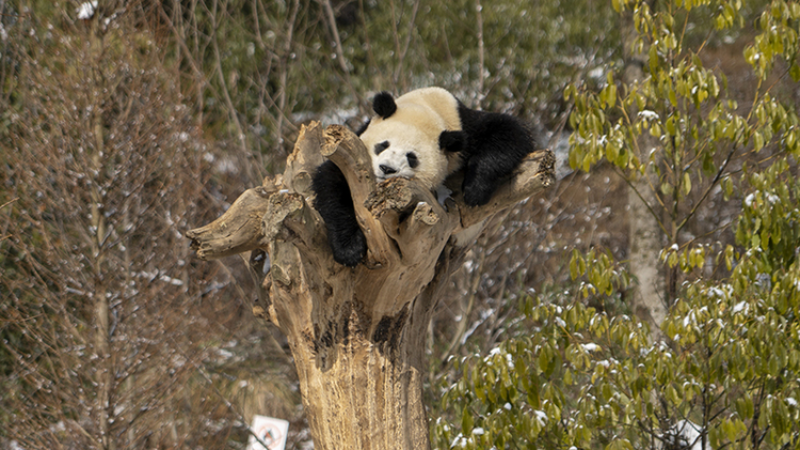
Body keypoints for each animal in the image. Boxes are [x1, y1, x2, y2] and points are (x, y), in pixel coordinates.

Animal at [310, 86, 536, 266]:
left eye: (412, 157)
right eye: (383, 145)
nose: (387, 169)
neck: (428, 106)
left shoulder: (465, 127)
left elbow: (512, 132)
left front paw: (475, 189)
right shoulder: (351, 152)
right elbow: (332, 184)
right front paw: (349, 250)